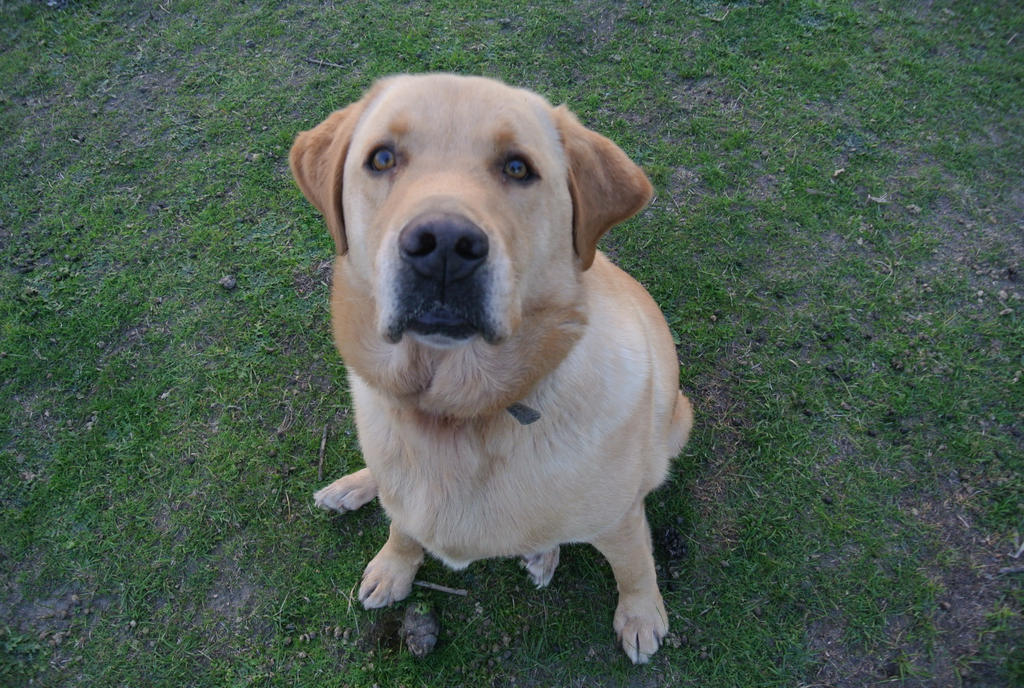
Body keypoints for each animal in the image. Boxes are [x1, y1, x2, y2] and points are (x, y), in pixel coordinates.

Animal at [292, 73, 700, 659]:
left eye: (517, 167)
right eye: (382, 158)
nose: (442, 245)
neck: (458, 413)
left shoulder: (619, 519)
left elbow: (635, 566)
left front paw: (641, 616)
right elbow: (403, 527)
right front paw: (395, 566)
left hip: (677, 423)